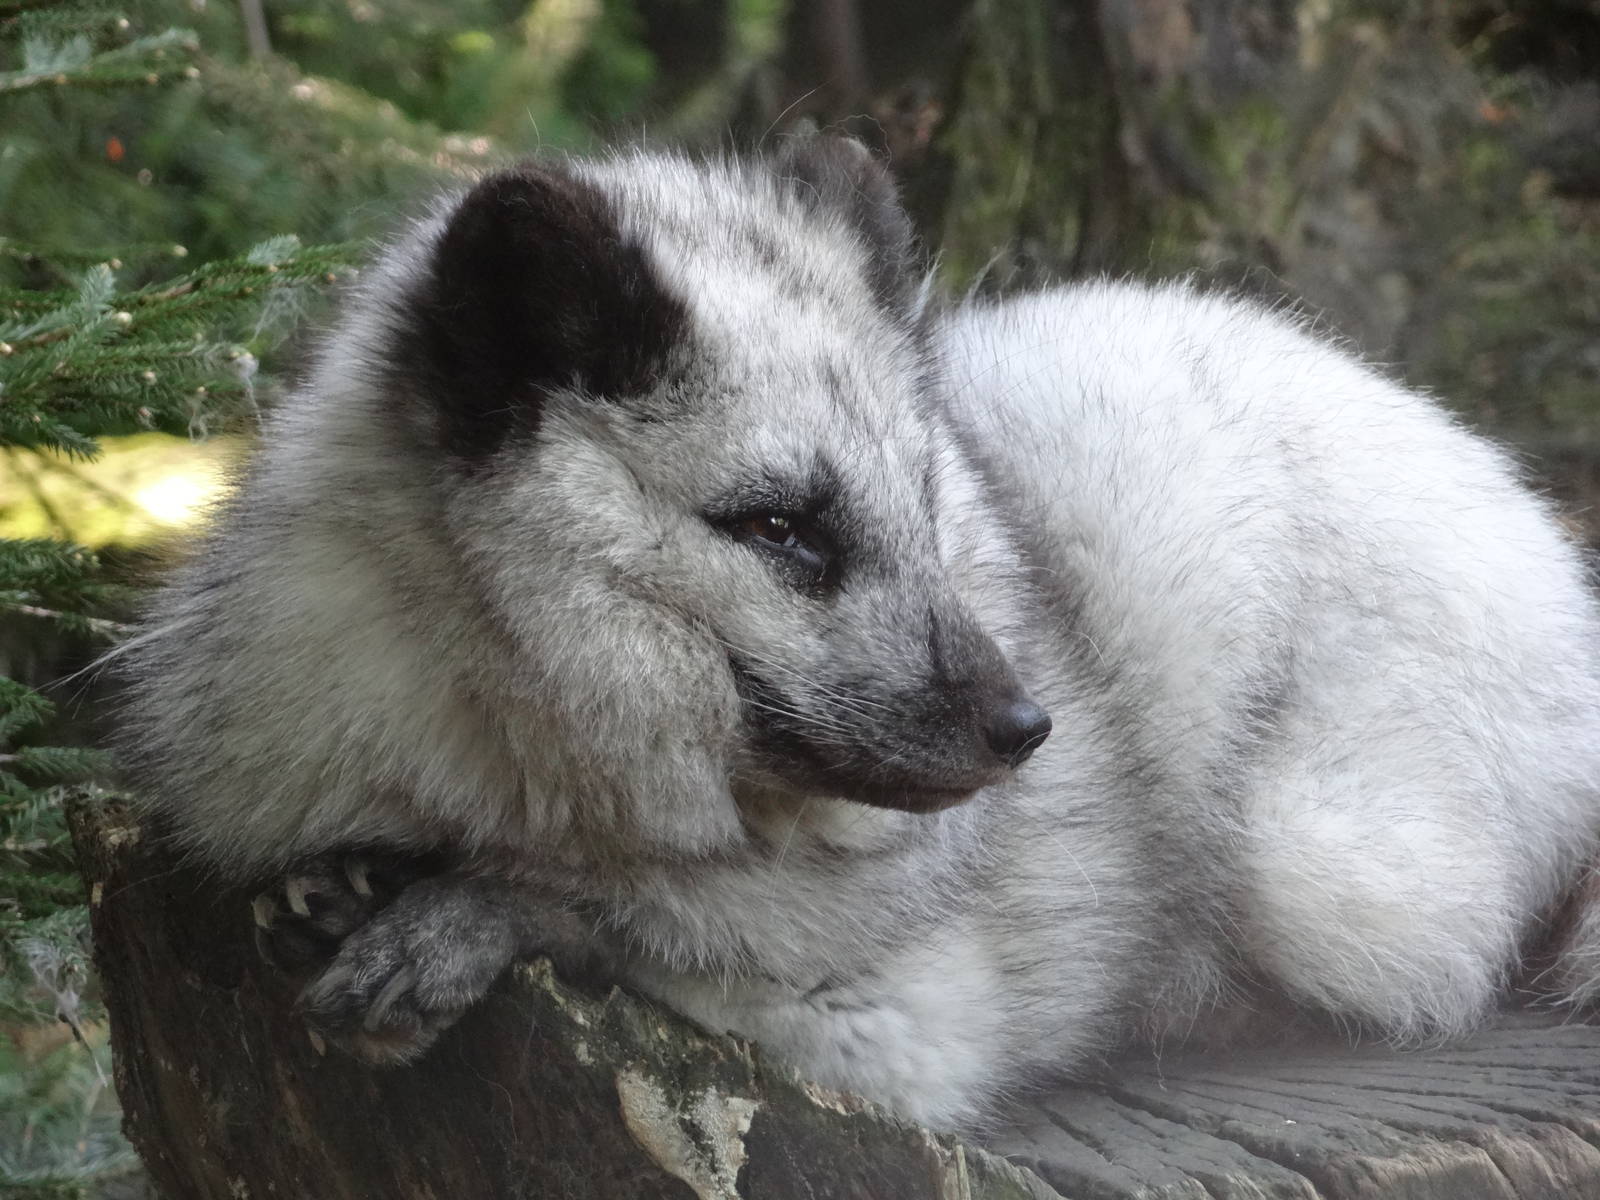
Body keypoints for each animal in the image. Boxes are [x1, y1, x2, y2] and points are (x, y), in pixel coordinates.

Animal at [117, 137, 1600, 1132]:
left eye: (928, 501)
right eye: (781, 527)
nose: (1027, 730)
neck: (491, 739)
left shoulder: (889, 1031)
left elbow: (647, 923)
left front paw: (469, 916)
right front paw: (351, 884)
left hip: (1317, 863)